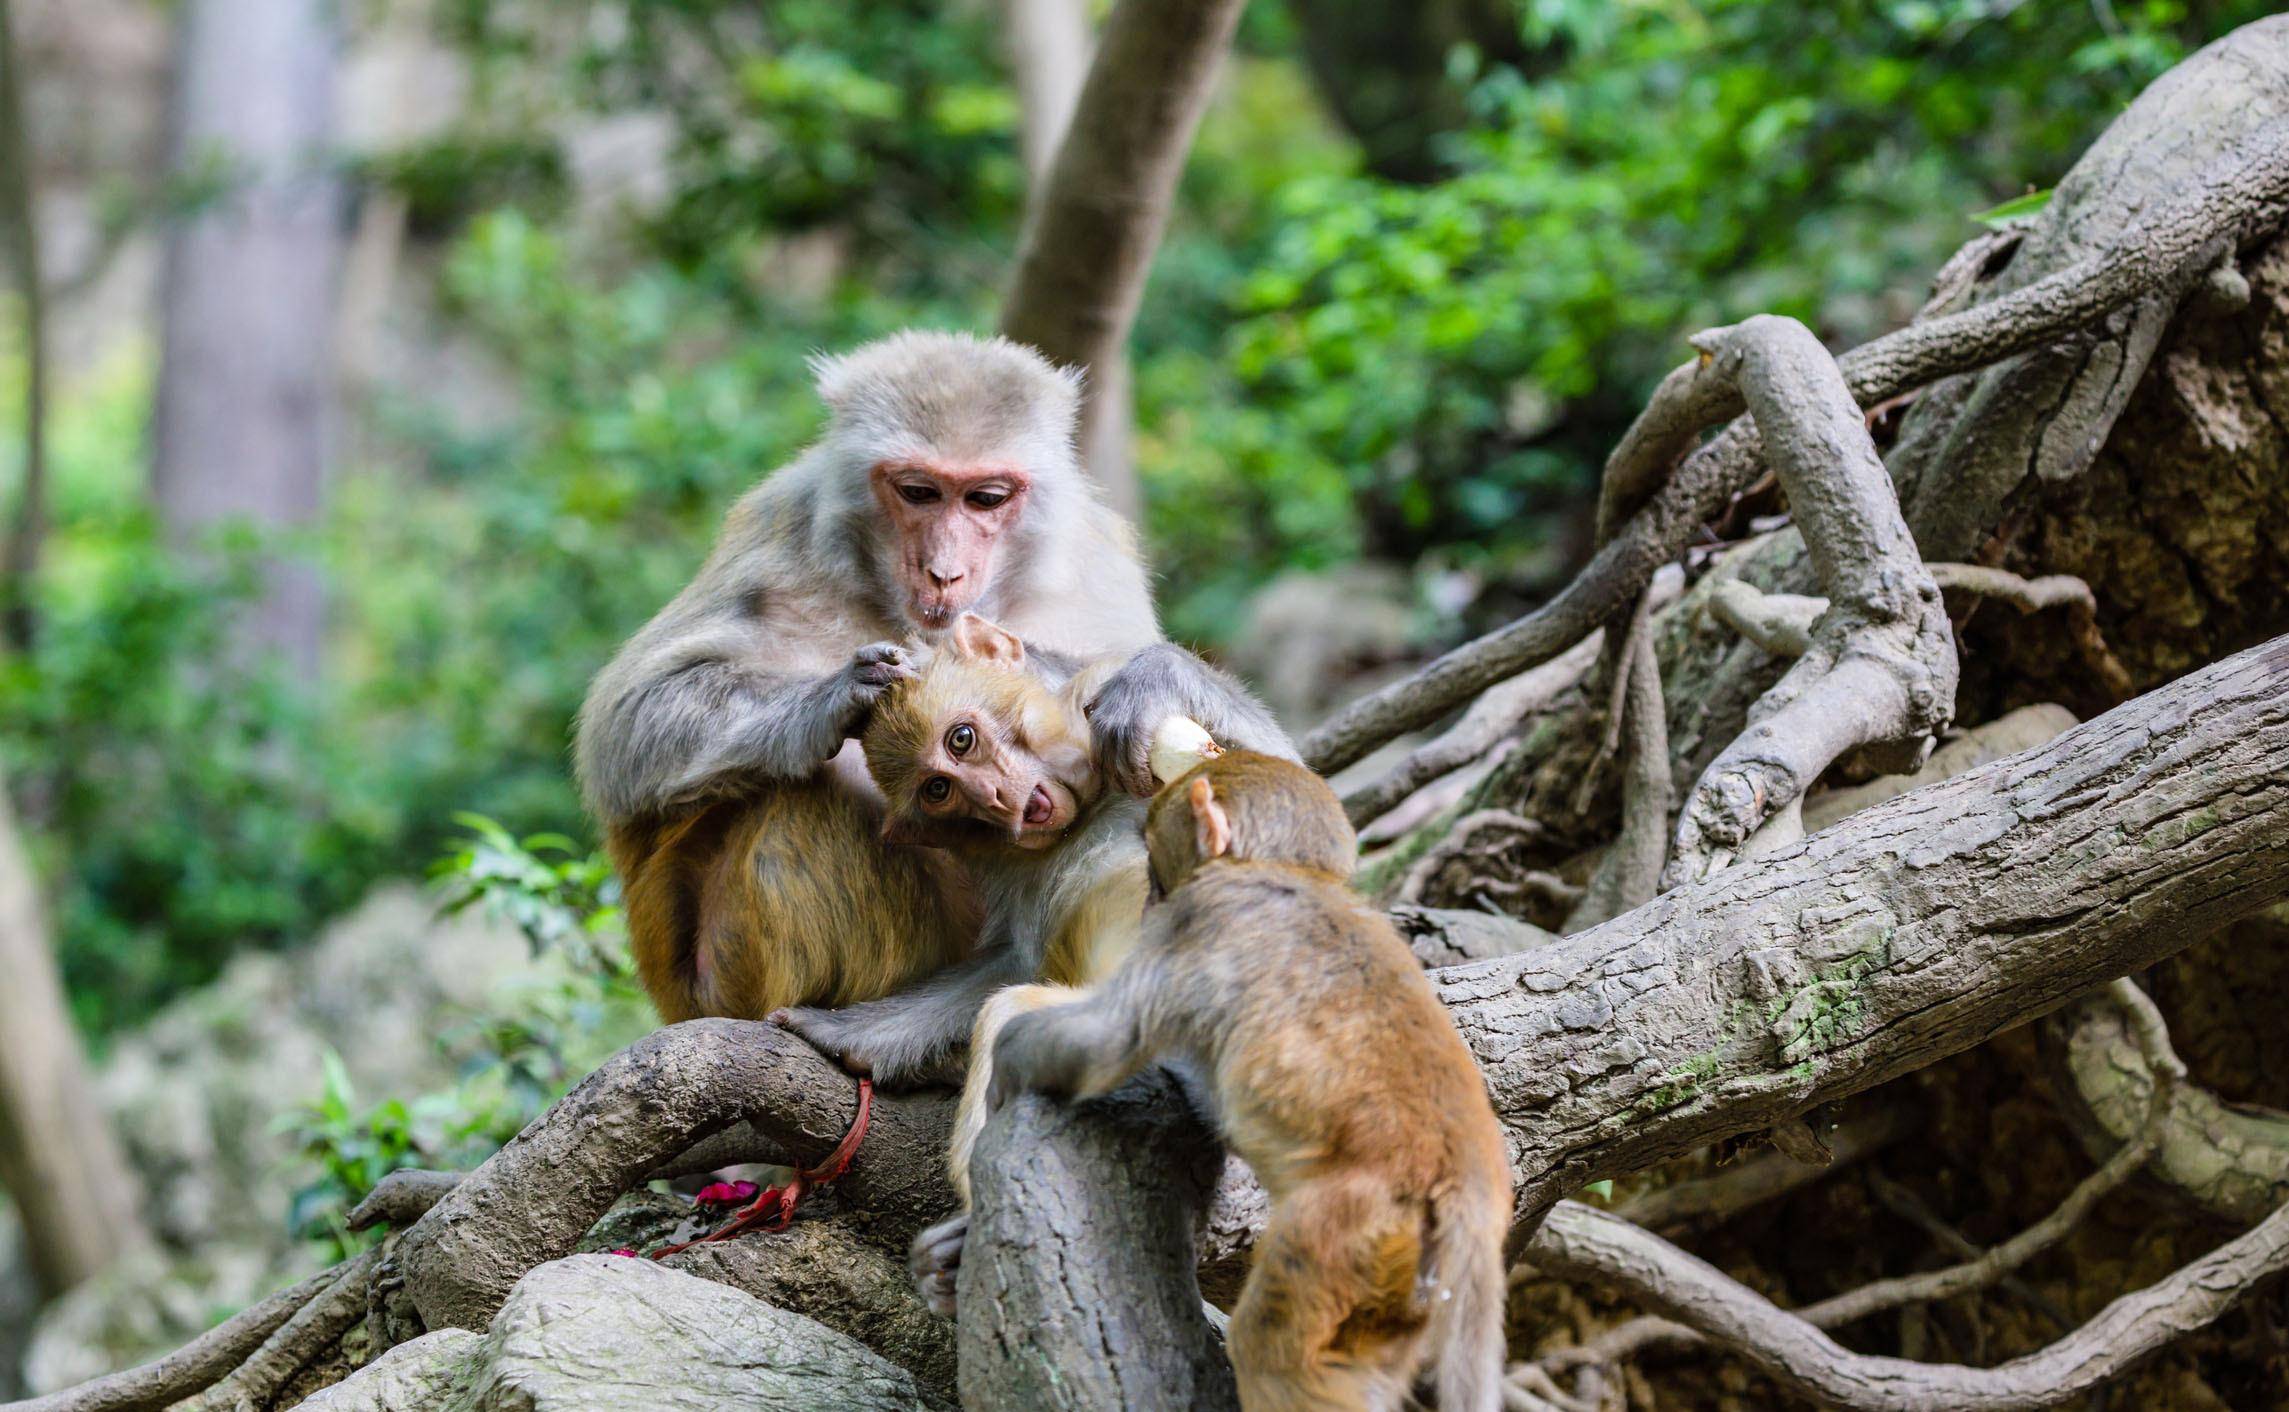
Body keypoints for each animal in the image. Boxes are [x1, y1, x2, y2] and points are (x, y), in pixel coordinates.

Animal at [581, 327, 1300, 1057]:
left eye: (986, 497)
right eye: (919, 491)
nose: (944, 572)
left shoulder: (1098, 560)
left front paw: (1161, 679)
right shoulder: (779, 529)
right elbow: (627, 726)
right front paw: (830, 700)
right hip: (719, 980)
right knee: (800, 800)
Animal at [993, 741, 1510, 1400]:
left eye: (1157, 865)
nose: (1150, 901)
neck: (1285, 874)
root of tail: (1465, 1174)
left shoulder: (1196, 920)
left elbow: (1106, 1041)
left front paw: (1004, 1065)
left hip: (1344, 1231)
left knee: (1270, 1346)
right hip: (1406, 1274)